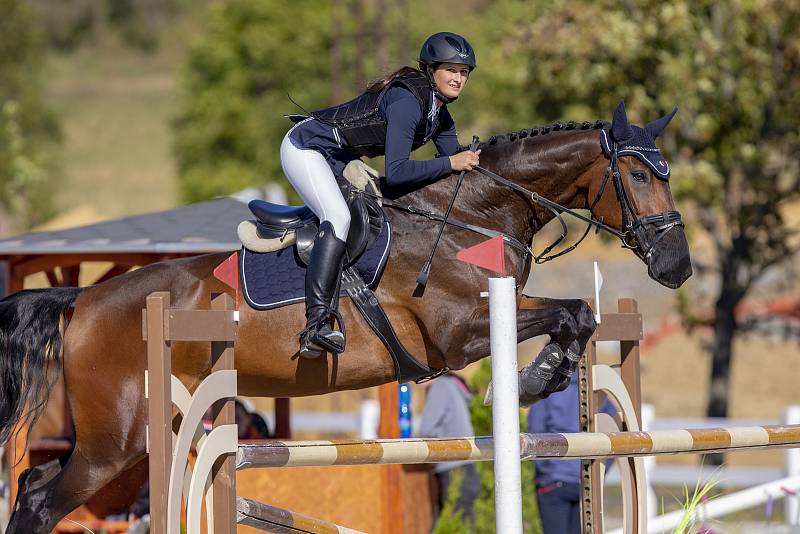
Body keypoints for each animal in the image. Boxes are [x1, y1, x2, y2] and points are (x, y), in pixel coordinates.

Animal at [0, 101, 688, 532]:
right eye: (635, 175)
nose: (677, 266)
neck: (472, 216)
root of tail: (83, 302)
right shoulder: (458, 336)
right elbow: (567, 313)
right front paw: (534, 378)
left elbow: (582, 316)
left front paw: (547, 373)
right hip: (117, 440)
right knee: (41, 502)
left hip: (135, 436)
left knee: (34, 486)